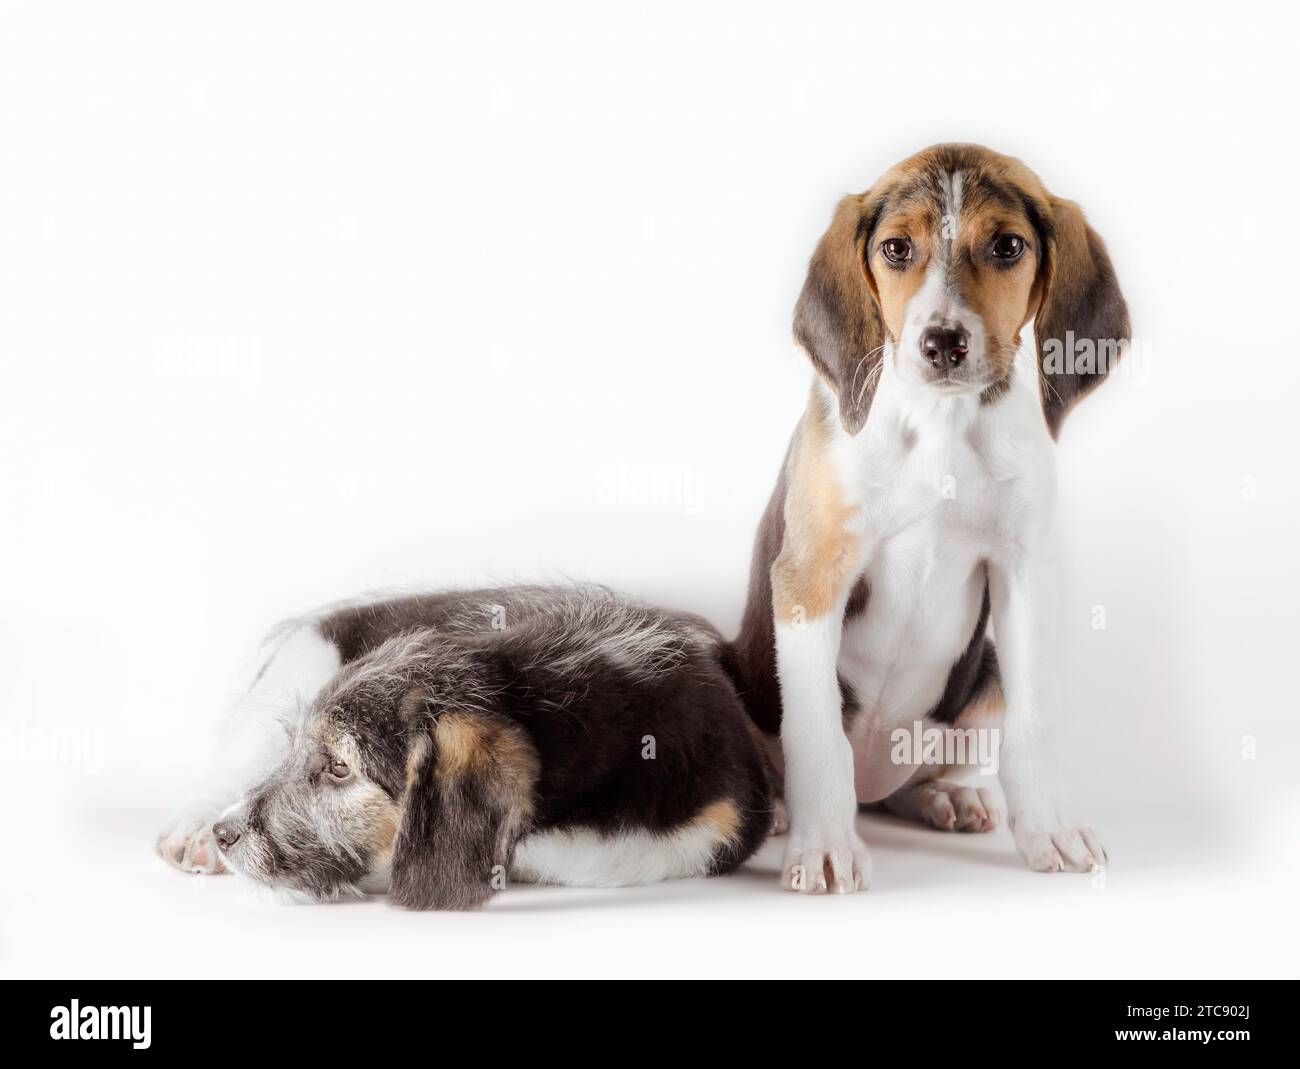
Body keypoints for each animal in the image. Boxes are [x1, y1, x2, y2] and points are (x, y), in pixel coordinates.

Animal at [738, 142, 1133, 894]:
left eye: (1008, 246)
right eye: (896, 249)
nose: (943, 342)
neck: (942, 424)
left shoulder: (1023, 573)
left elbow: (1035, 722)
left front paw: (1049, 827)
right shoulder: (812, 575)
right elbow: (817, 734)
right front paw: (824, 844)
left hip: (984, 678)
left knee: (908, 782)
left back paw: (945, 795)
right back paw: (780, 811)